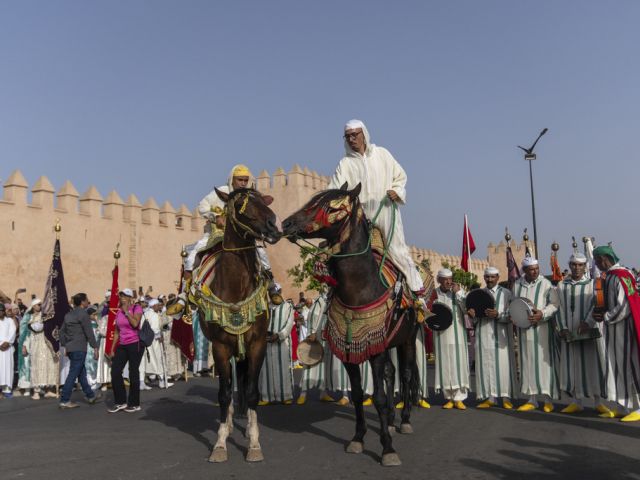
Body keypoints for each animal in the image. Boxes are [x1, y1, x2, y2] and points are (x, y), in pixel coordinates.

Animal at [190, 187, 280, 462]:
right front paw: (220, 444)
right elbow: (224, 394)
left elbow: (251, 392)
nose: (273, 225)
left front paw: (254, 443)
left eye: (263, 199)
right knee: (229, 387)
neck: (235, 286)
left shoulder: (257, 343)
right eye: (240, 204)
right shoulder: (219, 346)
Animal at [282, 182, 418, 466]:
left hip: (409, 338)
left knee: (407, 375)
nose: (286, 223)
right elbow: (357, 395)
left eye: (332, 206)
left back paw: (404, 421)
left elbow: (378, 396)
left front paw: (387, 449)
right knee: (391, 373)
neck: (361, 288)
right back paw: (390, 421)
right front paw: (358, 438)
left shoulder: (376, 349)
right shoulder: (351, 350)